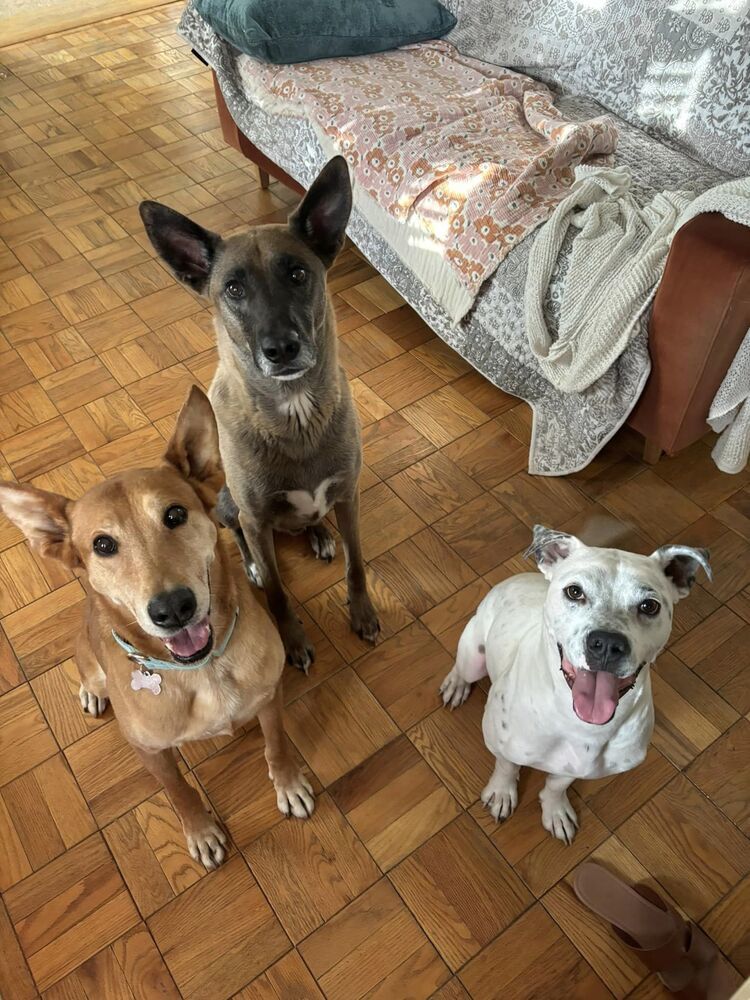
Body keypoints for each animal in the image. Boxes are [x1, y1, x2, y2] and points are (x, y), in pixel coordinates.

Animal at [444, 528, 712, 840]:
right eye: (574, 591)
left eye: (649, 606)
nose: (607, 643)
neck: (584, 726)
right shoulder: (503, 745)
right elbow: (506, 767)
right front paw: (501, 792)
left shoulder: (577, 768)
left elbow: (556, 785)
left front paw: (555, 810)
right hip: (474, 656)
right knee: (463, 669)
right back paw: (455, 685)